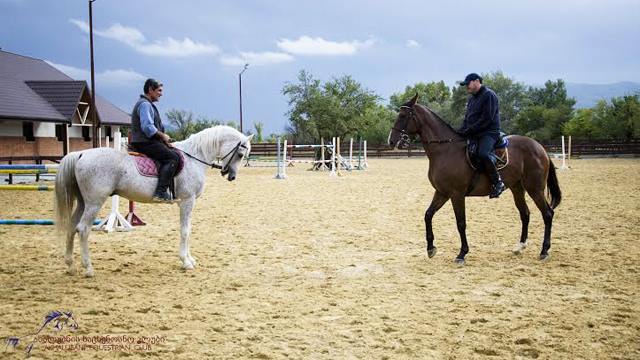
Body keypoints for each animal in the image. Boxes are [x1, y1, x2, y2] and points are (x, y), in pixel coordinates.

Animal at [54, 125, 252, 278]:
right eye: (241, 154)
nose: (231, 176)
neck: (194, 158)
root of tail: (81, 154)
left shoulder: (188, 203)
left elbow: (188, 229)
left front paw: (190, 259)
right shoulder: (187, 201)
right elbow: (185, 231)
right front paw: (186, 262)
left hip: (83, 202)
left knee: (72, 226)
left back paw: (70, 265)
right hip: (94, 202)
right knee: (83, 229)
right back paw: (88, 268)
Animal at [384, 95, 560, 264]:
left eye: (403, 115)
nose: (391, 141)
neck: (445, 150)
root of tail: (540, 147)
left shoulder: (456, 194)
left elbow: (461, 223)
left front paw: (462, 253)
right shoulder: (442, 193)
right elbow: (428, 215)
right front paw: (431, 248)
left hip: (535, 189)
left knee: (547, 214)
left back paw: (544, 251)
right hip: (517, 188)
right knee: (525, 213)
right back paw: (520, 247)